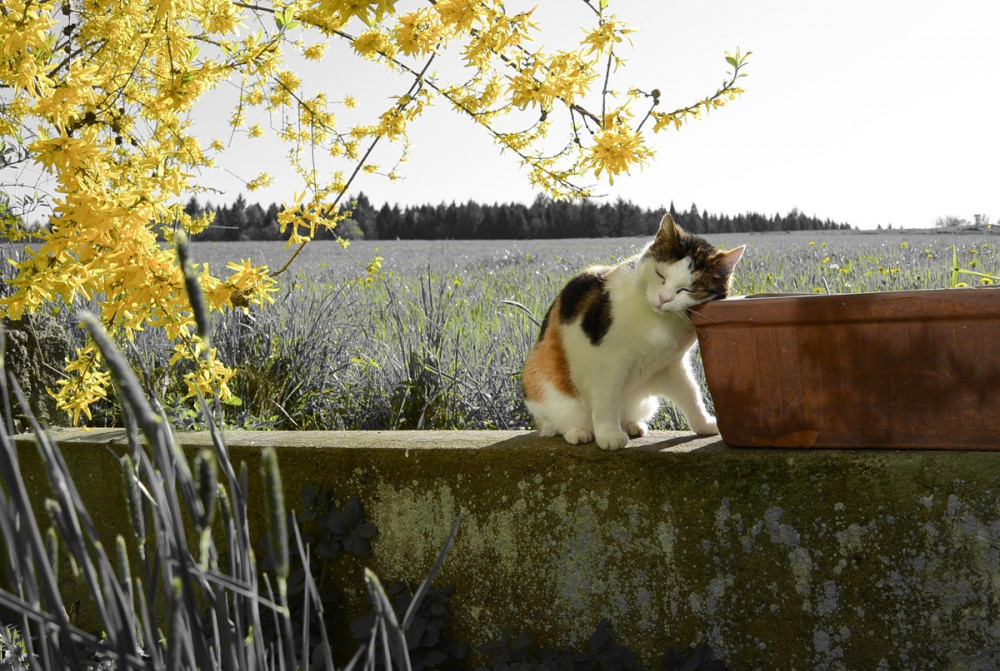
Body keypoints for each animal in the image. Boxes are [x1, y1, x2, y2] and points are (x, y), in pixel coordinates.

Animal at [524, 218, 744, 452]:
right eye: (660, 275)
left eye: (688, 289)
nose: (664, 299)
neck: (657, 323)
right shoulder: (607, 364)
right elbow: (606, 402)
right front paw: (609, 435)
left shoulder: (672, 366)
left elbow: (691, 394)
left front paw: (704, 424)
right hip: (548, 388)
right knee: (560, 421)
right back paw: (579, 431)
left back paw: (631, 425)